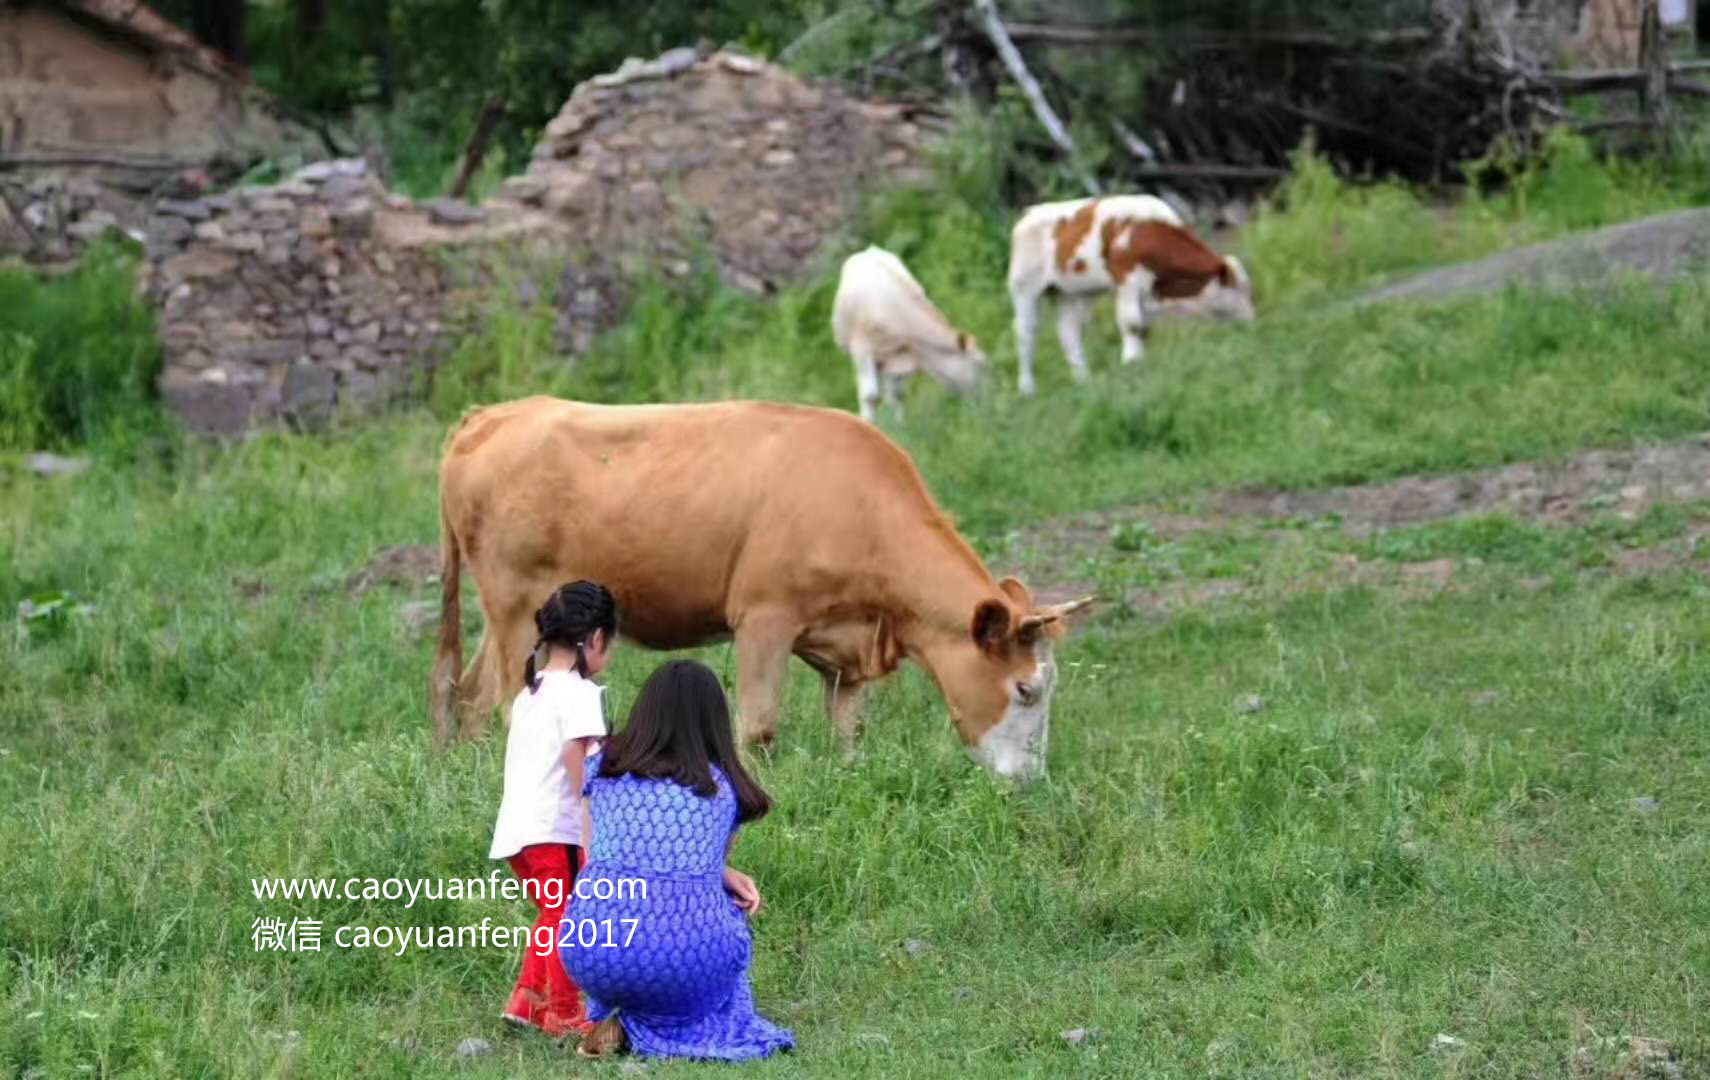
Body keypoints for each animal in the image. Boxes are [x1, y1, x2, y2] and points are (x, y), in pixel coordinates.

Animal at [430, 394, 1094, 775]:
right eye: (1027, 689)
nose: (1033, 781)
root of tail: (495, 414)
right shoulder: (764, 619)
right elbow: (759, 727)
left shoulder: (847, 646)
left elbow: (849, 729)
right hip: (514, 604)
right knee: (507, 706)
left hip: (517, 615)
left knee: (470, 697)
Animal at [831, 246, 991, 423]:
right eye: (980, 364)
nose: (988, 400)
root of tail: (869, 250)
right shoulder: (862, 350)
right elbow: (870, 396)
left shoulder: (902, 352)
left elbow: (898, 395)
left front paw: (901, 425)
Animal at [998, 194, 1258, 396]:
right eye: (1238, 288)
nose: (1250, 319)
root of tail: (1029, 213)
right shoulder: (1127, 280)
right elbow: (1132, 324)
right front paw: (1131, 361)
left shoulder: (1147, 290)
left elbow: (1143, 328)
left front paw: (1140, 365)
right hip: (1024, 287)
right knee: (1026, 332)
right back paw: (1027, 388)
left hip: (1071, 293)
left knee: (1068, 331)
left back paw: (1084, 380)